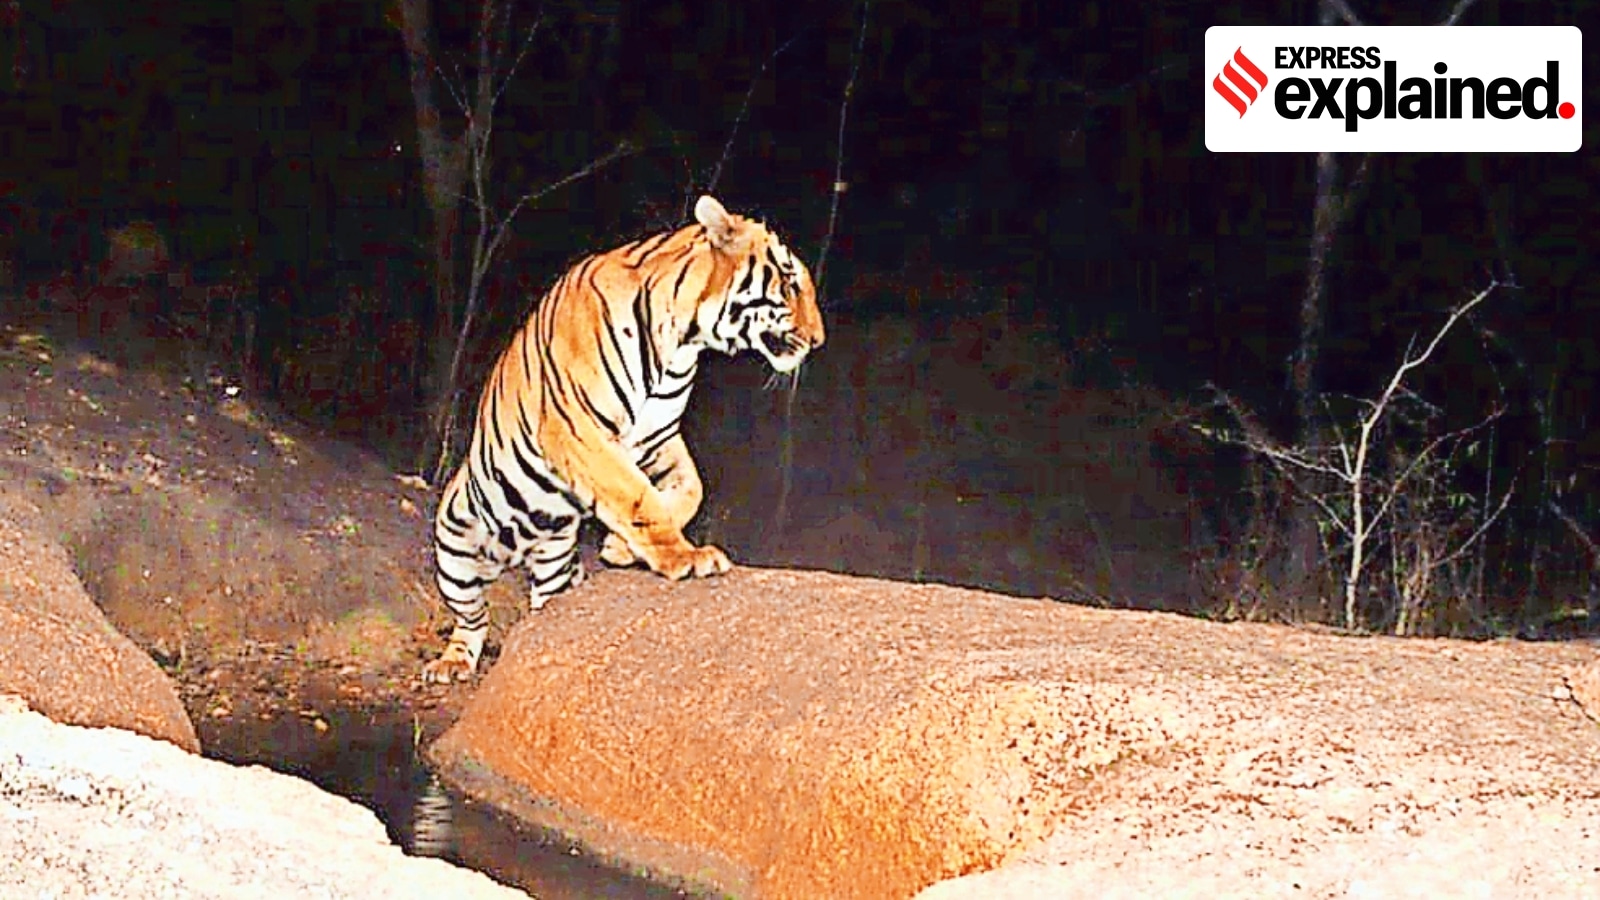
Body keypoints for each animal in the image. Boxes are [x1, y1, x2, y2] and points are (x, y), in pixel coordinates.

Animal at [422, 195, 825, 683]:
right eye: (790, 282)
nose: (818, 340)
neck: (683, 343)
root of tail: (516, 553)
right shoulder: (580, 431)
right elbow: (635, 495)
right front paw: (685, 558)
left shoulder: (657, 436)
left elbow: (689, 489)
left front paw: (620, 547)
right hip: (455, 549)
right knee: (472, 618)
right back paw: (451, 663)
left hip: (554, 562)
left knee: (542, 610)